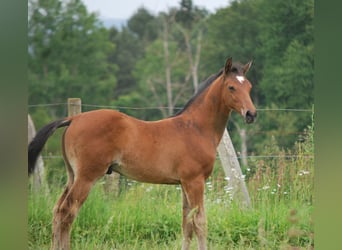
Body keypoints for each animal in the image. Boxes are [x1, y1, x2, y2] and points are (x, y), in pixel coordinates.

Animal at [28, 57, 255, 249]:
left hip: (72, 176)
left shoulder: (184, 184)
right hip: (86, 177)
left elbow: (187, 224)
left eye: (249, 87)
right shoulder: (195, 182)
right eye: (232, 87)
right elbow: (200, 222)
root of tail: (73, 119)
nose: (251, 114)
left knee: (57, 211)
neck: (195, 128)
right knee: (67, 212)